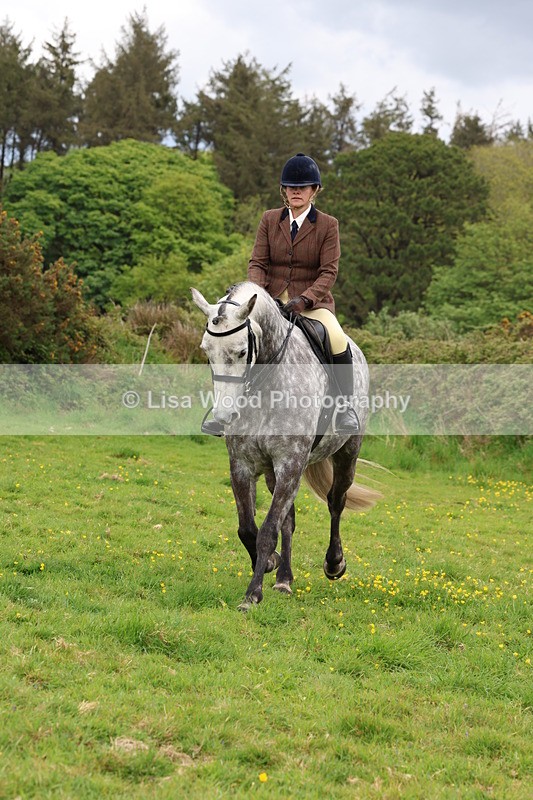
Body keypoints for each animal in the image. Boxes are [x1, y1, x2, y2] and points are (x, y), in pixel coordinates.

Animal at [191, 281, 381, 611]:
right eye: (206, 351)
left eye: (242, 352)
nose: (225, 416)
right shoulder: (243, 465)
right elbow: (247, 527)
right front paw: (269, 563)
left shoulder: (290, 463)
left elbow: (267, 530)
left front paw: (252, 594)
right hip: (274, 473)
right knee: (288, 521)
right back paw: (284, 579)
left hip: (346, 454)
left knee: (336, 502)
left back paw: (334, 563)